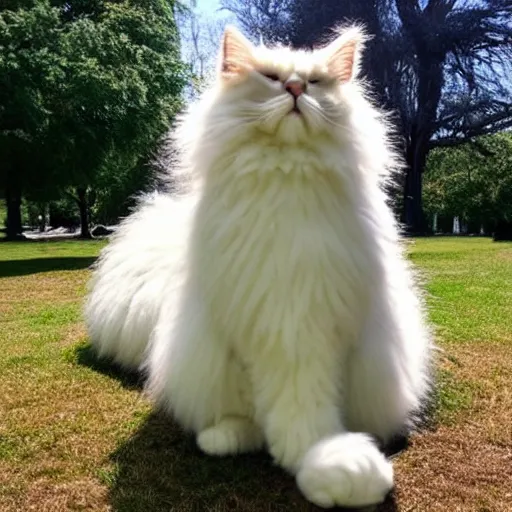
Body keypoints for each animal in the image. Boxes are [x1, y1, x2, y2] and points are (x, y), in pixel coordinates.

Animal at [85, 25, 432, 508]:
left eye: (316, 82)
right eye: (270, 78)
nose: (295, 89)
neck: (287, 174)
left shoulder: (315, 333)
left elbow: (308, 411)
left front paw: (328, 462)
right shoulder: (266, 331)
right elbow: (284, 409)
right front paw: (322, 462)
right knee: (235, 419)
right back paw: (221, 439)